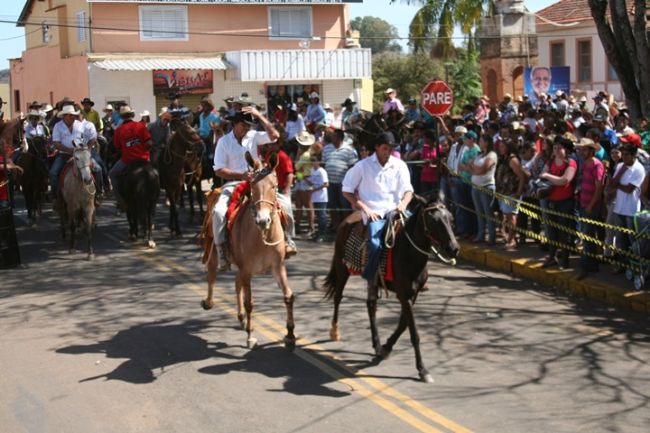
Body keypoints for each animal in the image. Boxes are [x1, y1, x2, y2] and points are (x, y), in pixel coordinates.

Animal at [202, 151, 296, 350]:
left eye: (274, 185)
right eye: (253, 186)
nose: (263, 220)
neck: (261, 236)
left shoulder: (278, 267)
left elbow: (288, 296)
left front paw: (290, 335)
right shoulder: (246, 270)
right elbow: (249, 303)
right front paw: (251, 337)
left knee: (236, 283)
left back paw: (241, 318)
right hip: (215, 254)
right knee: (212, 276)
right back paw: (208, 302)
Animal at [323, 193, 460, 382]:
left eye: (451, 219)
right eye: (433, 221)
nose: (453, 249)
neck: (409, 253)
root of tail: (347, 219)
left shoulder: (412, 295)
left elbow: (403, 324)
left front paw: (386, 347)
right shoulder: (404, 295)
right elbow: (414, 333)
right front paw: (422, 370)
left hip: (371, 281)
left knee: (371, 306)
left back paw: (377, 344)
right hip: (342, 268)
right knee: (338, 296)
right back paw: (334, 331)